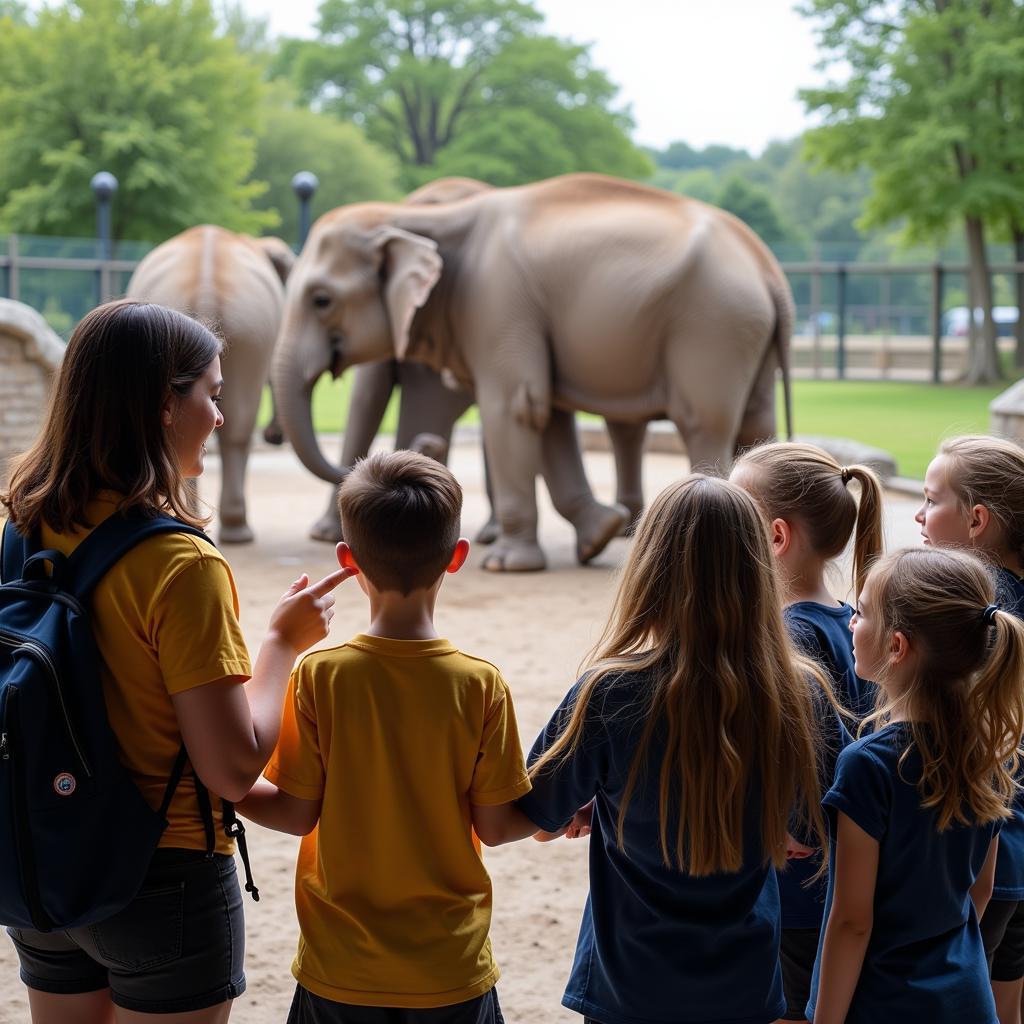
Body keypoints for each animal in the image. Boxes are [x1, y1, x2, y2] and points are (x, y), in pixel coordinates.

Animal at [272, 167, 790, 569]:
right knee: (754, 424)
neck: (419, 219)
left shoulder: (495, 299)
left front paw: (505, 564)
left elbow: (514, 406)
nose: (427, 445)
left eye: (321, 299)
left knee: (703, 421)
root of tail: (768, 268)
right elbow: (548, 415)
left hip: (712, 326)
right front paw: (597, 536)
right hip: (745, 334)